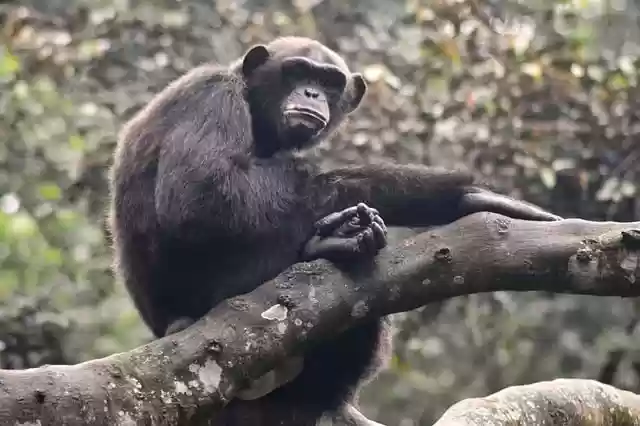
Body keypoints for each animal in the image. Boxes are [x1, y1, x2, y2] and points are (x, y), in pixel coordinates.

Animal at [108, 36, 561, 425]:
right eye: (296, 71)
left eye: (329, 81)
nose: (311, 93)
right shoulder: (212, 97)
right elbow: (203, 198)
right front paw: (453, 194)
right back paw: (328, 242)